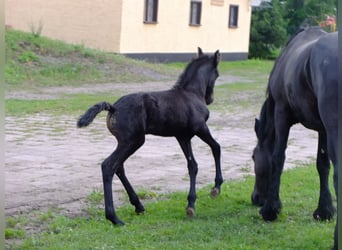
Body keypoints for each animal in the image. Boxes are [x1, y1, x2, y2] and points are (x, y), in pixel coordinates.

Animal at [76, 47, 223, 226]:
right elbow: (216, 148)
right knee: (109, 166)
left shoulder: (182, 136)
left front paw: (191, 205)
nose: (210, 99)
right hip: (134, 140)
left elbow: (192, 166)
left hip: (127, 142)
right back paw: (114, 218)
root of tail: (113, 107)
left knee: (119, 166)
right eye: (217, 74)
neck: (191, 93)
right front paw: (216, 188)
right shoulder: (200, 128)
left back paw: (138, 206)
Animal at [251, 27, 340, 248]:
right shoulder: (322, 129)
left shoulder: (281, 113)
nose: (256, 198)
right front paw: (324, 211)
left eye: (253, 157)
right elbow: (322, 165)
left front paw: (270, 209)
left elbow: (278, 158)